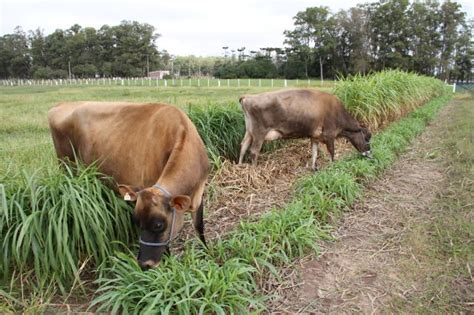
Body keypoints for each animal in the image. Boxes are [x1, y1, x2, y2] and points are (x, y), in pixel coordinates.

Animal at [48, 102, 209, 270]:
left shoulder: (199, 193)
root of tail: (61, 104)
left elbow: (199, 226)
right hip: (66, 165)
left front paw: (207, 255)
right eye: (137, 222)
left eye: (158, 225)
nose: (144, 264)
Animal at [239, 88, 372, 170]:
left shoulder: (315, 137)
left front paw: (314, 168)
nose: (371, 154)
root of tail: (248, 97)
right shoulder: (330, 135)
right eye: (367, 139)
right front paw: (332, 167)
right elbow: (332, 153)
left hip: (249, 132)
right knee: (254, 151)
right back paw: (254, 170)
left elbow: (314, 152)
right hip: (259, 133)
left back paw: (240, 166)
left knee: (243, 146)